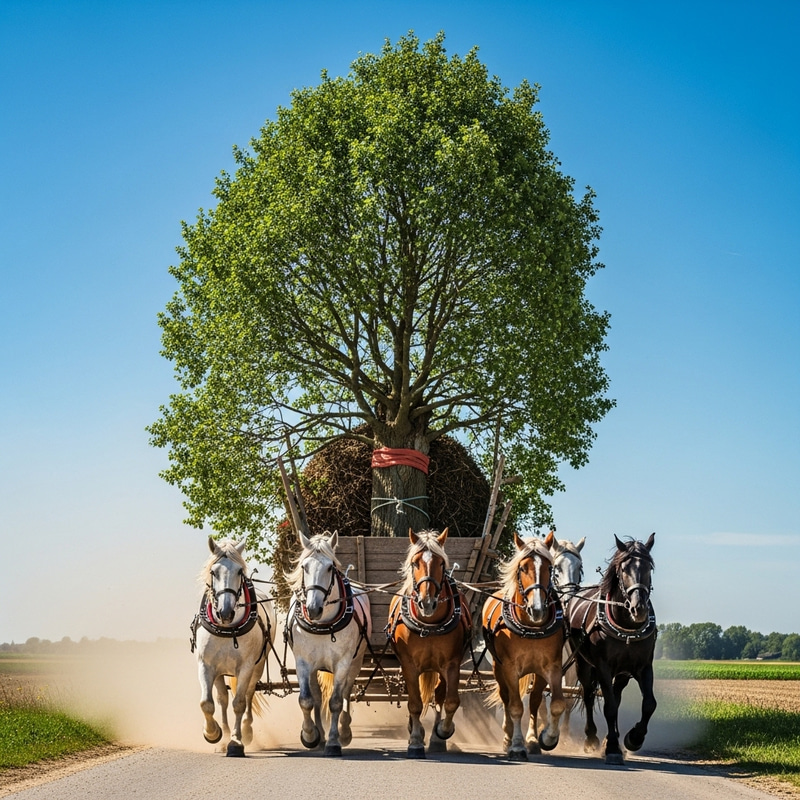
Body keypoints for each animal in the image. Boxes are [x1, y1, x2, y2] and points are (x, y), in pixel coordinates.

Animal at [191, 536, 276, 757]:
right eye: (213, 572)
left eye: (239, 571)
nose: (225, 612)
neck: (228, 628)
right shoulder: (206, 665)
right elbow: (207, 703)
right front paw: (213, 734)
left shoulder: (246, 667)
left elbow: (239, 703)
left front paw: (236, 741)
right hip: (220, 671)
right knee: (222, 699)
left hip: (257, 666)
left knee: (248, 694)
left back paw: (246, 730)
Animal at [285, 530, 371, 756]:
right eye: (304, 566)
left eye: (330, 567)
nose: (313, 609)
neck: (323, 625)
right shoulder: (303, 662)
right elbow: (306, 700)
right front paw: (310, 735)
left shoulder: (343, 663)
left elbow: (336, 702)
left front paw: (334, 741)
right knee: (315, 695)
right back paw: (320, 734)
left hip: (356, 662)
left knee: (347, 692)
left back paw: (344, 731)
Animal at [386, 528, 471, 758]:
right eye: (415, 563)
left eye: (441, 563)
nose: (427, 603)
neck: (429, 623)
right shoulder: (408, 664)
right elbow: (415, 703)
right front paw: (415, 740)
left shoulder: (452, 664)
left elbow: (451, 701)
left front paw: (443, 731)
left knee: (439, 697)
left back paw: (436, 737)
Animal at [482, 532, 566, 760]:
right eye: (522, 568)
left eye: (549, 567)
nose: (537, 609)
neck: (531, 628)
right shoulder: (510, 668)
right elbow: (515, 707)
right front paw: (517, 746)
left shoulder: (552, 667)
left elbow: (556, 704)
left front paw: (547, 738)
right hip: (498, 668)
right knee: (506, 698)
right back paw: (508, 737)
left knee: (535, 701)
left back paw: (532, 740)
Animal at [565, 533, 657, 764]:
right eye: (624, 569)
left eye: (649, 568)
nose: (639, 609)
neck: (627, 627)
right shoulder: (603, 667)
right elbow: (609, 707)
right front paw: (613, 748)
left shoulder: (643, 667)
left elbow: (649, 704)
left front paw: (633, 738)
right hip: (582, 663)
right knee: (589, 696)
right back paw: (592, 738)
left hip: (622, 673)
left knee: (616, 694)